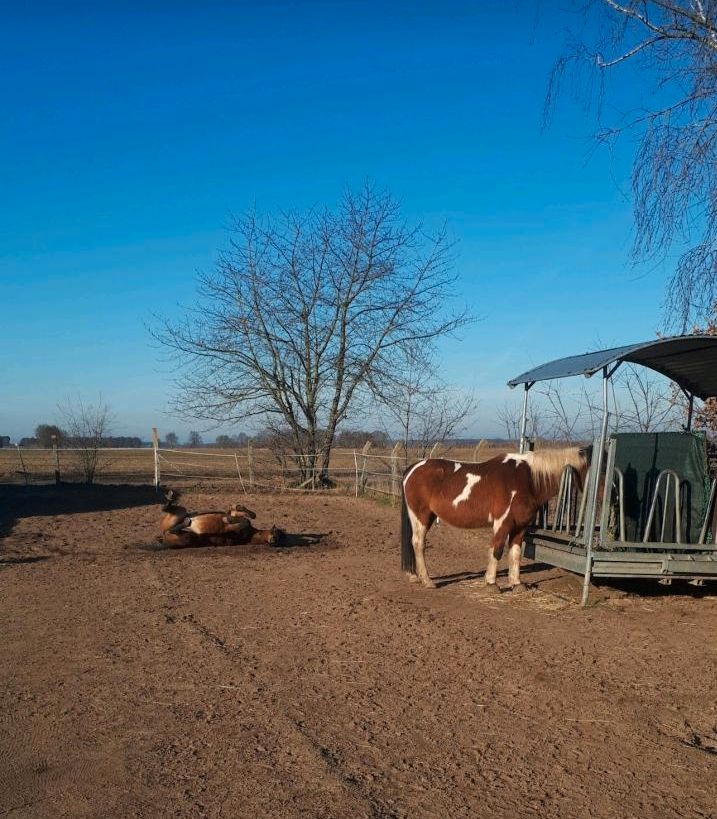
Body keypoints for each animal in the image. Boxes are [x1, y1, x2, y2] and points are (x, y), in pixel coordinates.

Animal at [400, 446, 592, 592]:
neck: (527, 478)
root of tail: (413, 468)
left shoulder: (520, 526)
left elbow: (515, 553)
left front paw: (516, 583)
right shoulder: (502, 522)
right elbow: (497, 550)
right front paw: (492, 583)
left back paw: (416, 577)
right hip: (421, 516)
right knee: (418, 543)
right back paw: (427, 581)